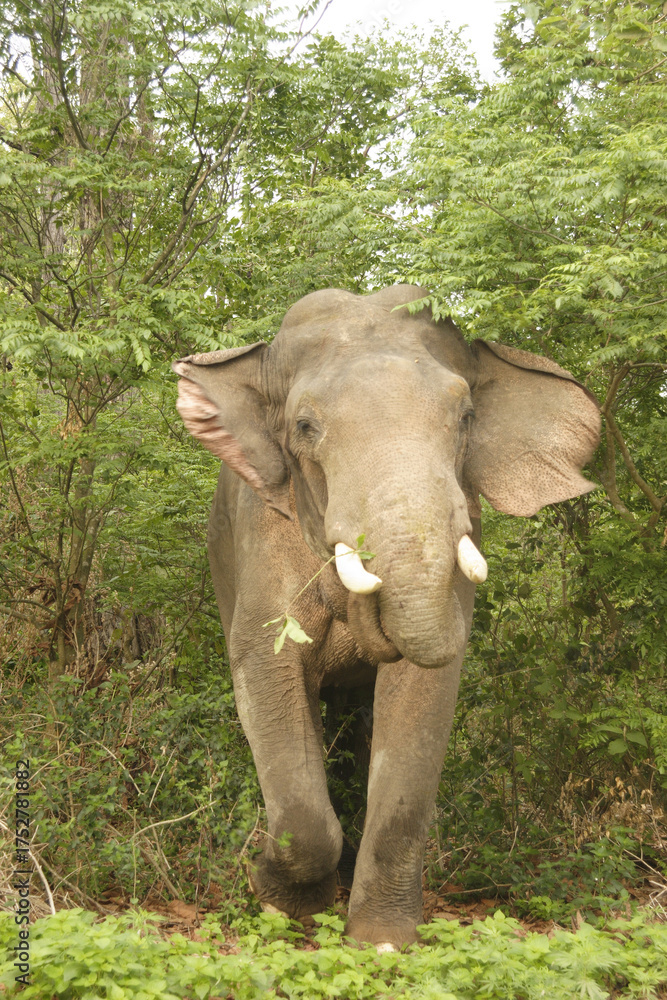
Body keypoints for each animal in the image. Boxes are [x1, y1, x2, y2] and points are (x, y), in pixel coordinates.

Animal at [173, 284, 600, 949]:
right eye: (305, 426)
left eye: (466, 417)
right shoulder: (263, 537)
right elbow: (266, 665)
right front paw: (275, 899)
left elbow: (421, 695)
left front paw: (382, 939)